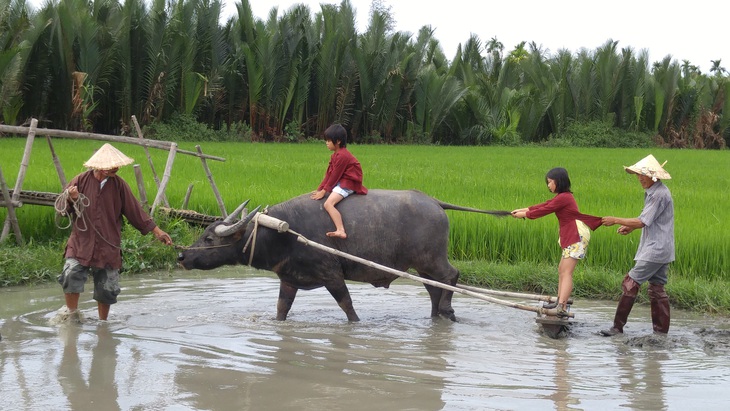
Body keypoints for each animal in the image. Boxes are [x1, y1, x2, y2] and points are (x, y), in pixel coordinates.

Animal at [178, 189, 506, 322]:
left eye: (209, 238)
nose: (182, 257)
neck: (283, 232)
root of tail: (435, 202)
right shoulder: (289, 279)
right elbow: (282, 309)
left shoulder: (331, 274)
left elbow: (347, 306)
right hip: (423, 265)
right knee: (435, 289)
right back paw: (435, 317)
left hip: (431, 259)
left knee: (451, 276)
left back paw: (447, 312)